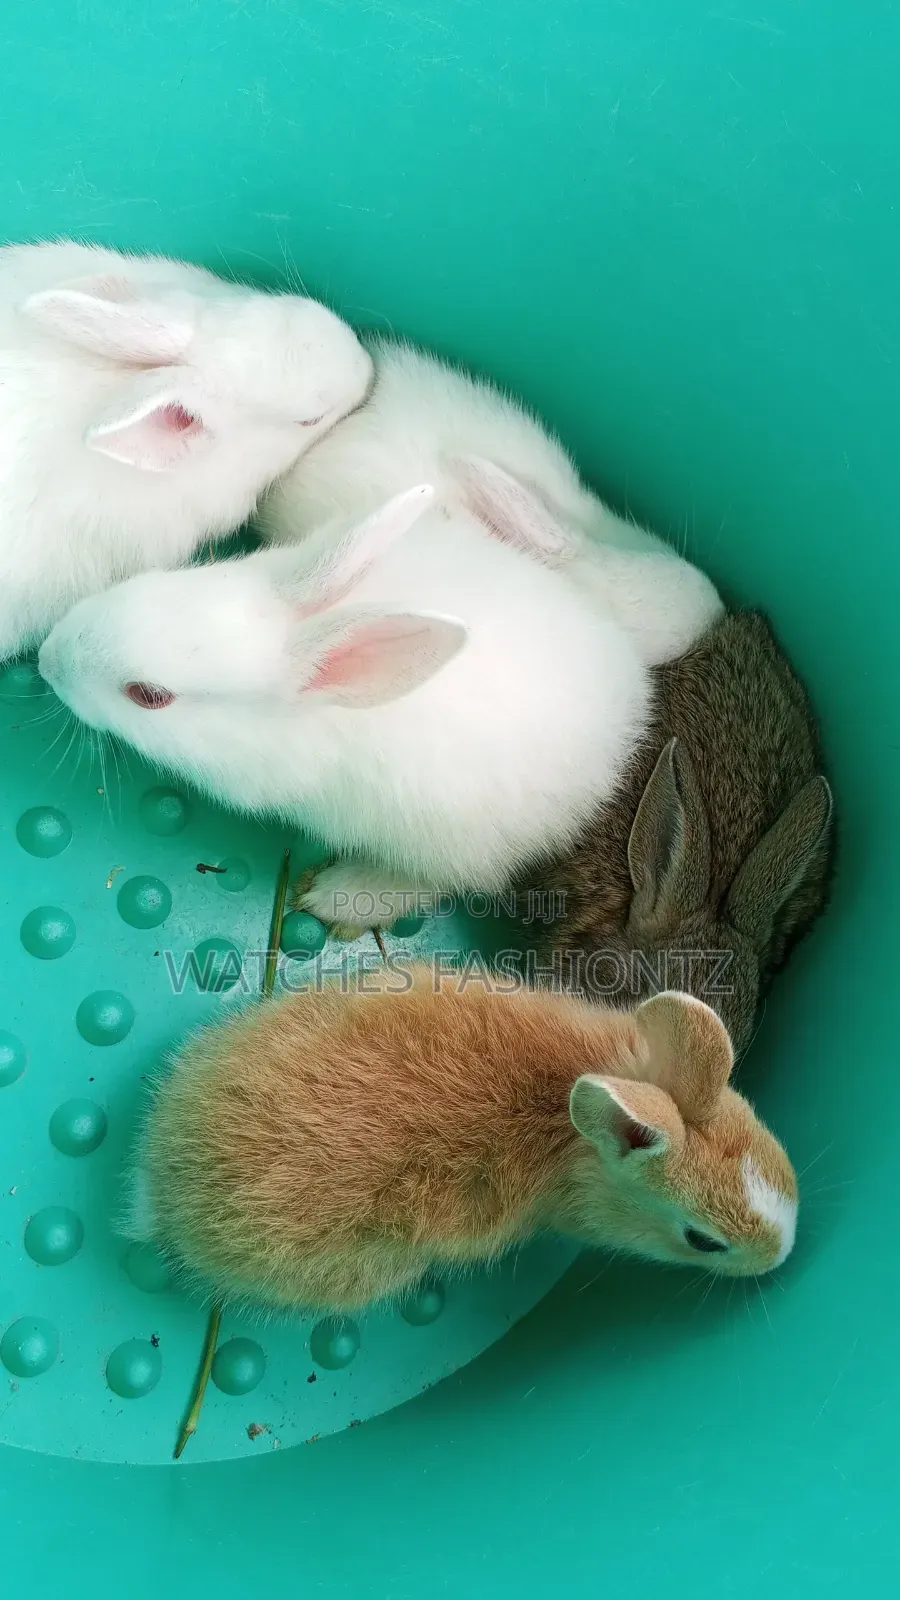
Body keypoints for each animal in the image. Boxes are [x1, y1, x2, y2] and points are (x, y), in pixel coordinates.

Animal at [38, 482, 652, 931]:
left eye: (150, 696)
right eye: (170, 579)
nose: (47, 660)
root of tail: (628, 717)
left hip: (446, 844)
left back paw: (334, 895)